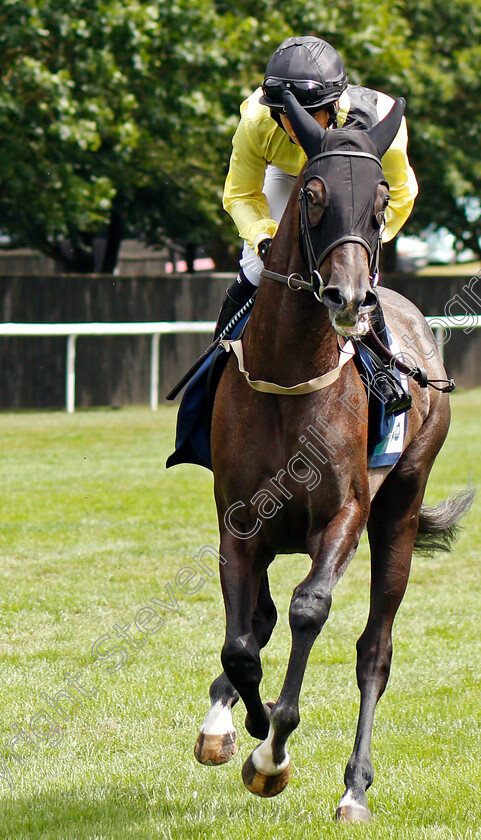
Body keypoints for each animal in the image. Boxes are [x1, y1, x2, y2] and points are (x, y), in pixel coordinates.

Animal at [190, 92, 468, 820]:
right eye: (312, 196)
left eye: (380, 200)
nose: (347, 298)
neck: (290, 374)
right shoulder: (239, 520)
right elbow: (241, 642)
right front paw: (243, 723)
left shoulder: (343, 514)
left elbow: (308, 610)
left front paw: (272, 753)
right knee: (256, 626)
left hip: (402, 506)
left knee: (375, 648)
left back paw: (353, 787)